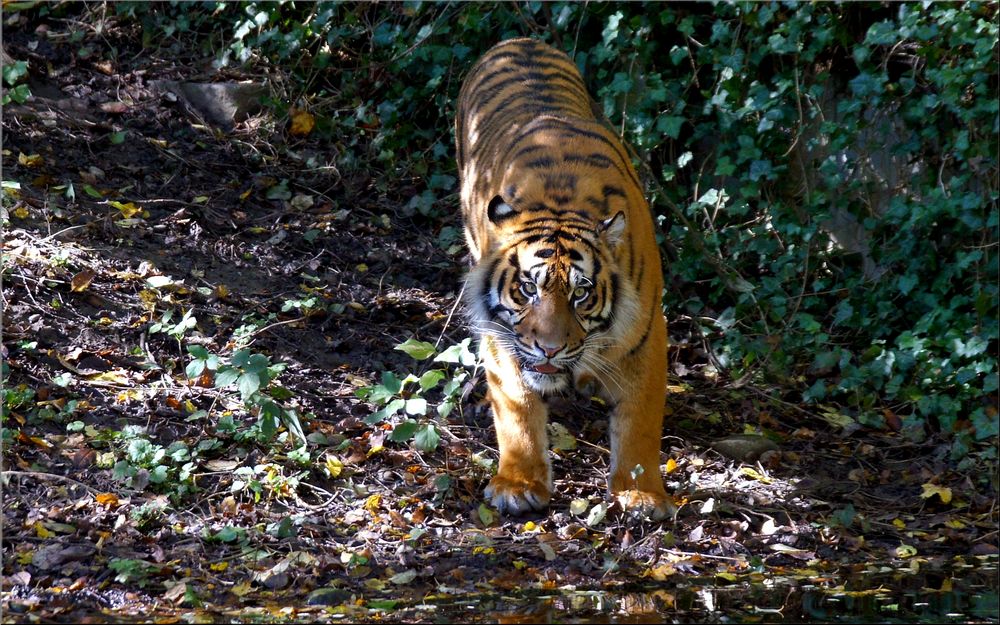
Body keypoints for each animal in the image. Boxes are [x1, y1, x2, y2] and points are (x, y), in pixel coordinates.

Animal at [456, 36, 672, 520]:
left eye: (581, 294)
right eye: (527, 288)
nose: (550, 349)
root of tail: (519, 40)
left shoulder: (646, 336)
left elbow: (641, 420)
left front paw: (642, 494)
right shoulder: (503, 338)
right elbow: (516, 411)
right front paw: (518, 486)